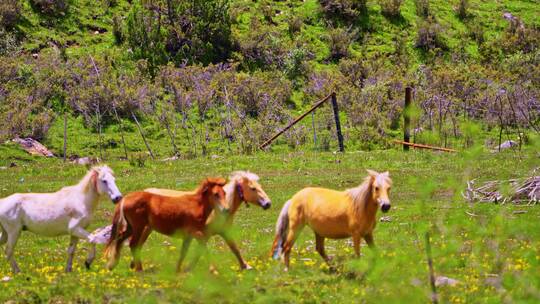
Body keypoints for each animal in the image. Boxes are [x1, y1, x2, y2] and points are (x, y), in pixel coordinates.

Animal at [144, 172, 272, 270]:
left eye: (260, 186)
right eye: (253, 188)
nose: (268, 203)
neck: (216, 210)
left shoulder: (224, 232)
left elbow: (234, 248)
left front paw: (246, 266)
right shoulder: (202, 235)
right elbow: (200, 252)